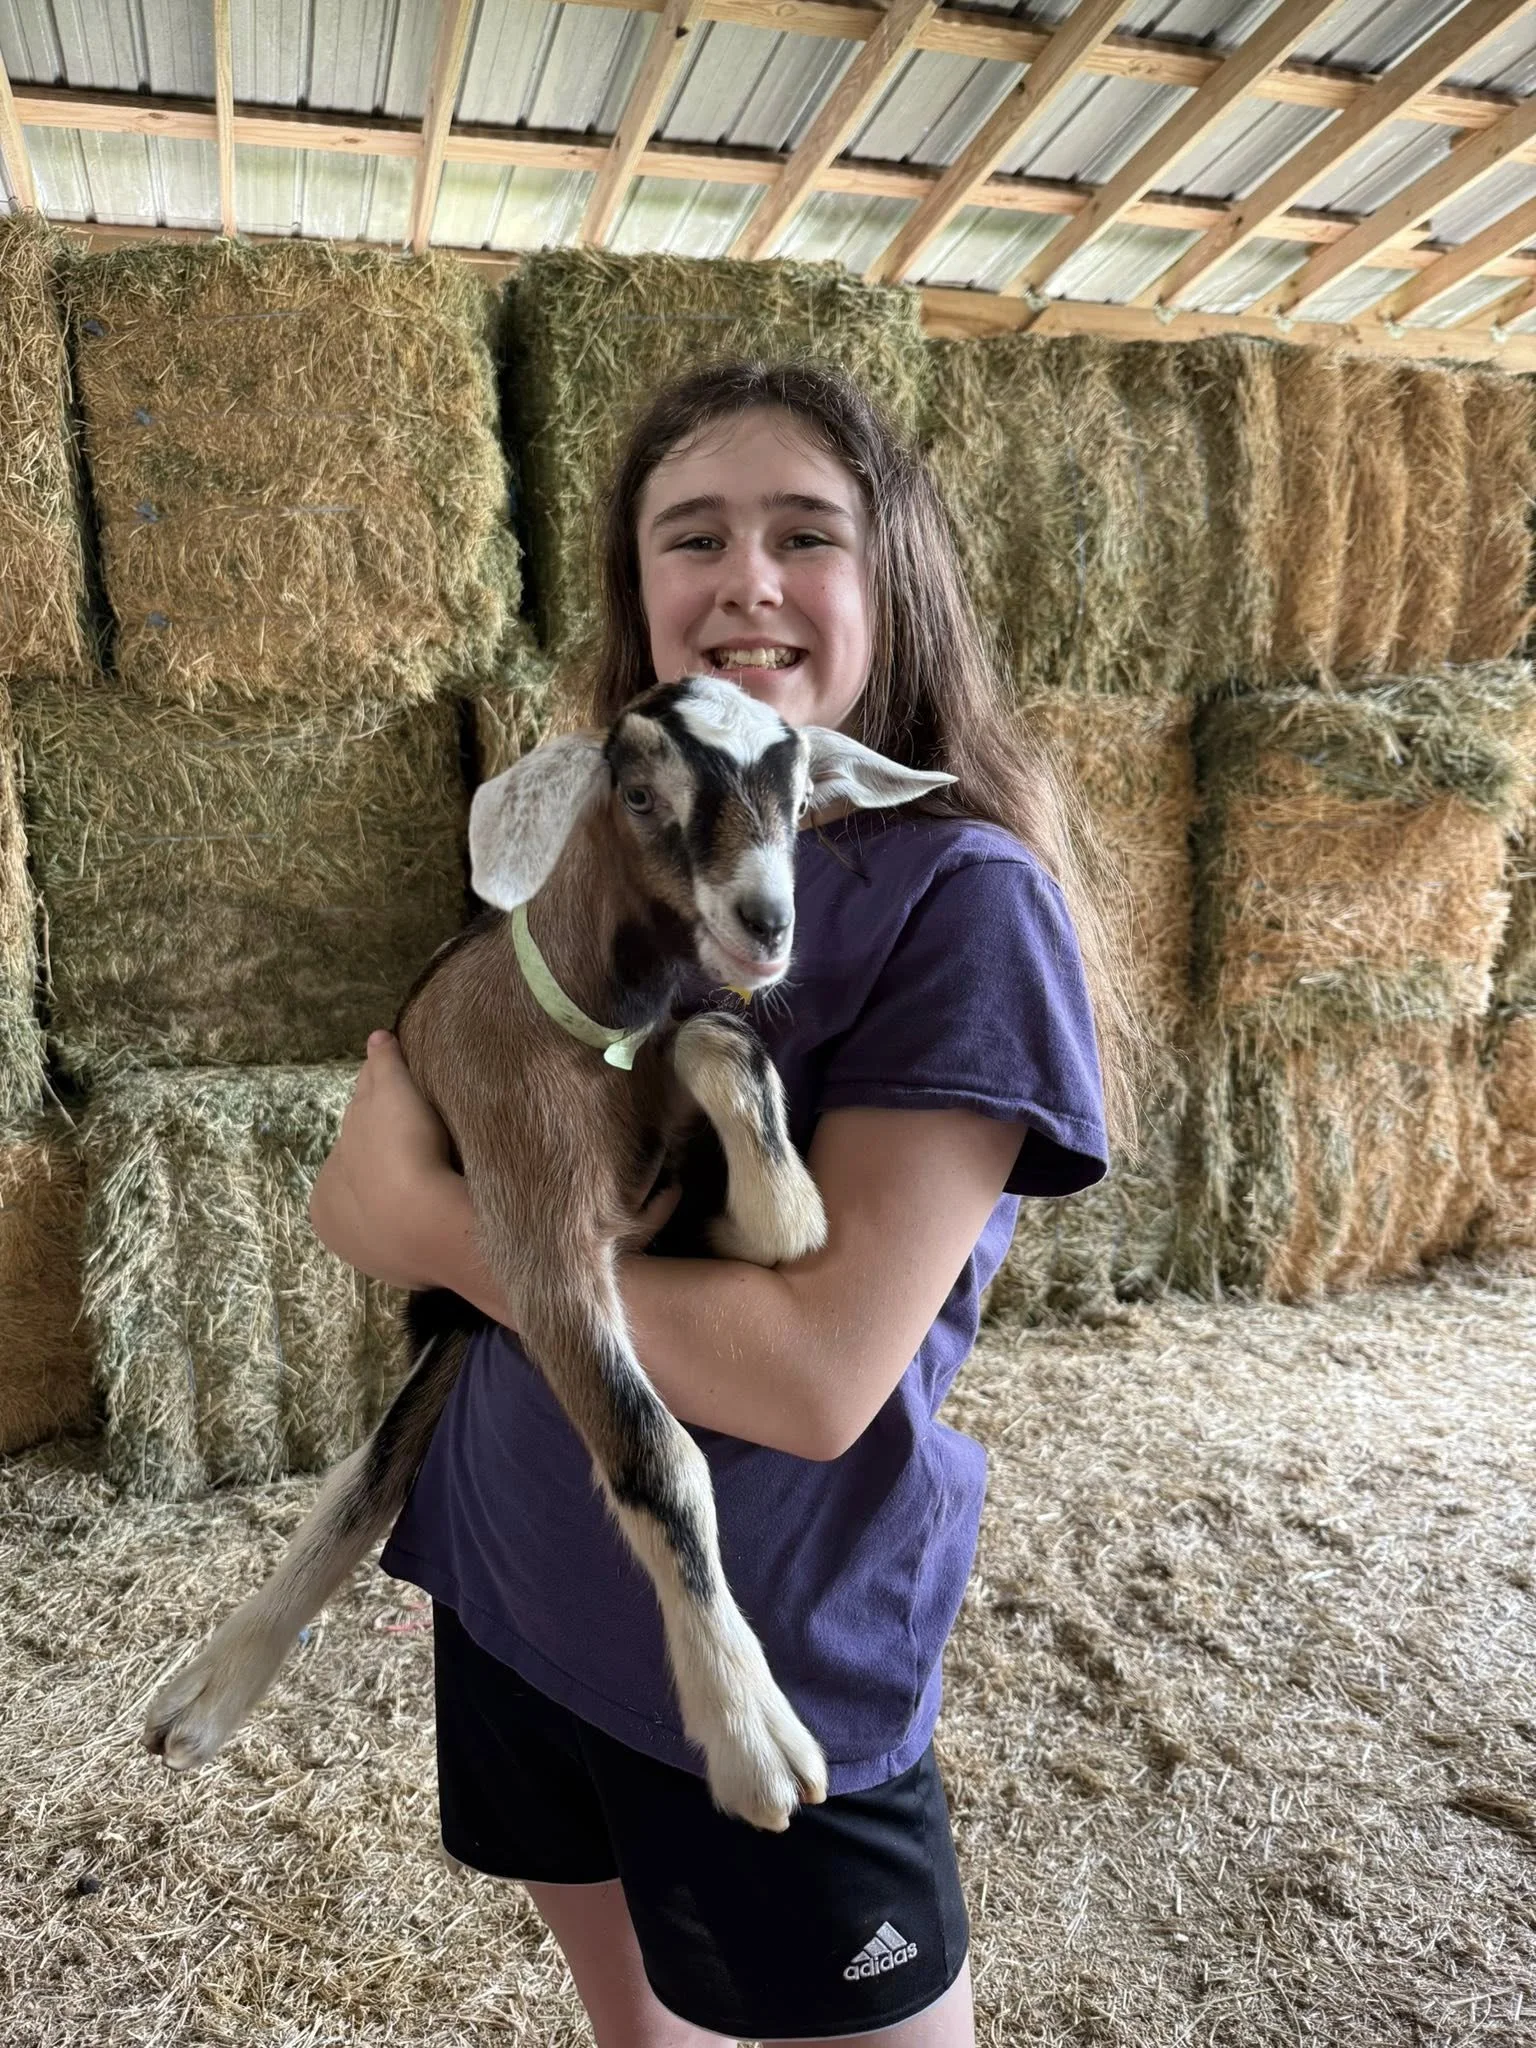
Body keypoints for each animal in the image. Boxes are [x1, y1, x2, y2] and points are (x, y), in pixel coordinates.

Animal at [142, 676, 951, 1831]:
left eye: (801, 804)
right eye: (642, 792)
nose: (766, 924)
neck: (591, 1034)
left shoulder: (667, 1206)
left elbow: (725, 1069)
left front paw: (789, 1201)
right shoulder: (536, 1242)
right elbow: (657, 1456)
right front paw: (751, 1735)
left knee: (378, 1458)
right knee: (377, 1460)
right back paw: (204, 1694)